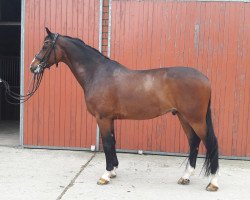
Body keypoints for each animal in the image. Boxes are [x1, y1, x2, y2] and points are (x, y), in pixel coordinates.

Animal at [29, 27, 219, 191]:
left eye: (45, 45)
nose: (33, 66)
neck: (96, 73)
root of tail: (206, 78)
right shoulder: (110, 119)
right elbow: (112, 142)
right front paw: (113, 171)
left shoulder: (103, 118)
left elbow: (106, 143)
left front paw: (105, 175)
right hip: (183, 117)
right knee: (193, 142)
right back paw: (186, 176)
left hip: (195, 119)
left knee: (210, 142)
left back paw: (213, 182)